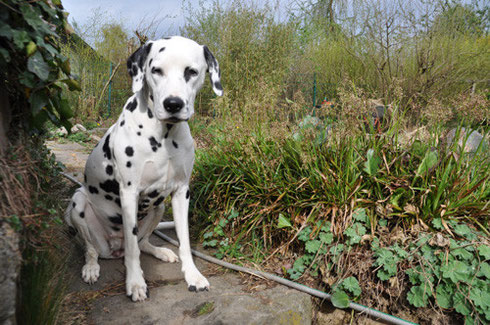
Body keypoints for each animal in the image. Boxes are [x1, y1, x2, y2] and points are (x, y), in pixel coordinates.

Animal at [65, 36, 224, 302]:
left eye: (191, 72)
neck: (164, 135)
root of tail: (112, 248)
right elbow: (132, 249)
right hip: (77, 203)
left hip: (159, 208)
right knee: (92, 248)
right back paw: (91, 267)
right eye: (156, 70)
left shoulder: (181, 192)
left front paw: (193, 276)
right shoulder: (129, 193)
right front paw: (136, 282)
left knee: (142, 243)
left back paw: (161, 251)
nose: (173, 104)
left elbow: (184, 240)